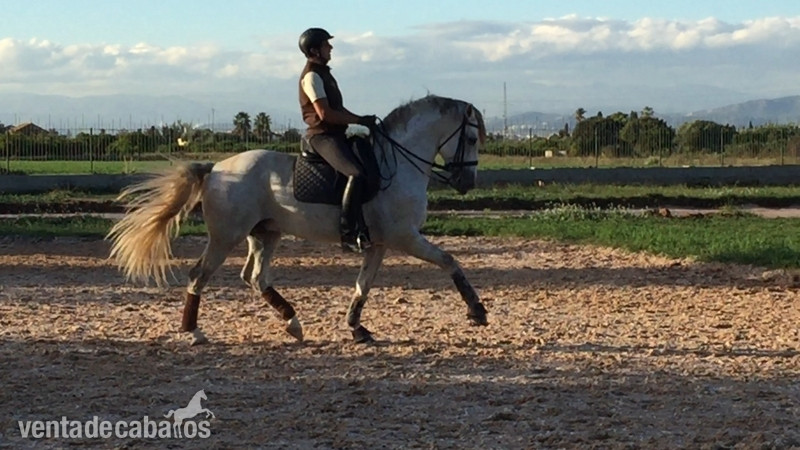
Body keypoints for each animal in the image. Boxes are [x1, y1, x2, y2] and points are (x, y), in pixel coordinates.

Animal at [107, 95, 488, 345]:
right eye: (470, 138)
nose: (467, 183)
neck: (398, 163)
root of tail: (215, 169)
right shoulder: (404, 236)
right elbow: (449, 261)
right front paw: (477, 311)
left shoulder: (379, 243)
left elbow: (362, 286)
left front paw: (357, 328)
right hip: (226, 236)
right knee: (200, 274)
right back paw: (194, 332)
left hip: (265, 234)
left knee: (256, 277)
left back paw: (293, 323)